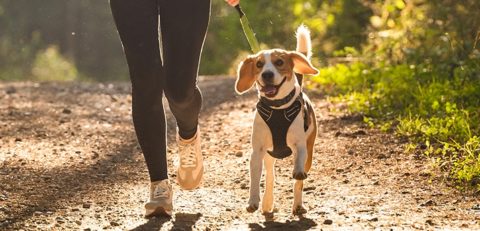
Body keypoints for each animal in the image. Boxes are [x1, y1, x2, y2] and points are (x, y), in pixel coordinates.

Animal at [233, 25, 316, 215]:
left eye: (279, 62)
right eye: (259, 64)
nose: (267, 74)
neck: (277, 108)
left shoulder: (301, 145)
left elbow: (298, 167)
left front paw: (297, 171)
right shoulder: (257, 152)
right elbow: (255, 180)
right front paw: (253, 201)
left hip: (309, 151)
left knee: (298, 183)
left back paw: (298, 205)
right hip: (269, 155)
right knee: (270, 177)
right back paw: (267, 203)